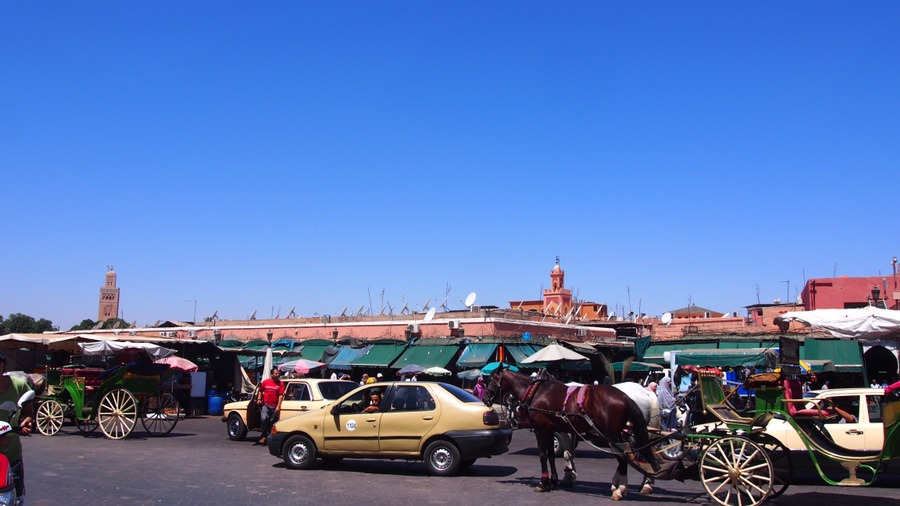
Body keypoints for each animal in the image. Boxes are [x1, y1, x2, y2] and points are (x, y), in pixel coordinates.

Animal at [488, 366, 656, 500]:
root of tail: (625, 396)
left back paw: (621, 490)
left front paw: (543, 483)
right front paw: (553, 481)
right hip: (619, 433)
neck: (535, 392)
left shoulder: (540, 429)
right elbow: (551, 455)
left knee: (624, 456)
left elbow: (544, 455)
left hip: (611, 434)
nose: (485, 398)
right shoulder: (550, 429)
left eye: (491, 380)